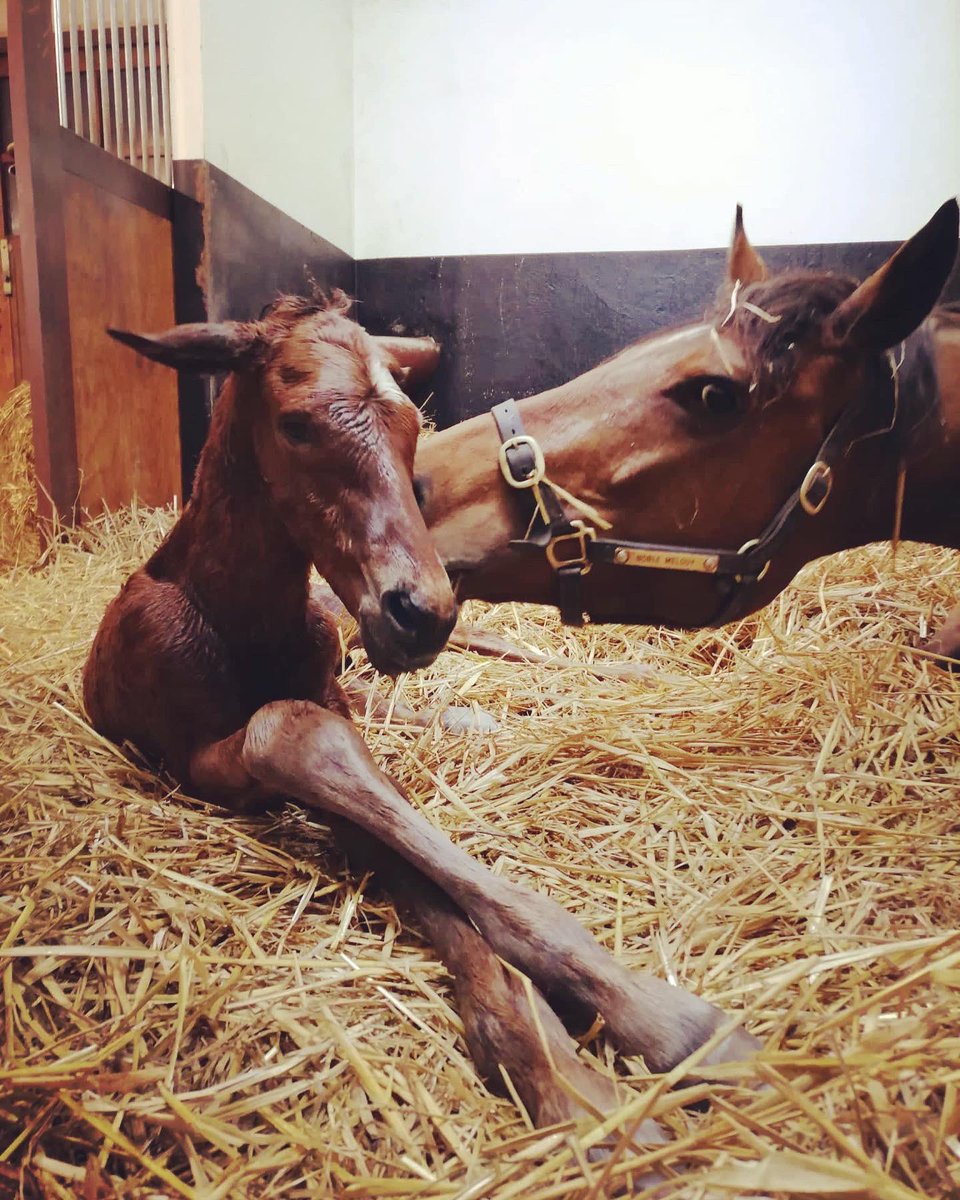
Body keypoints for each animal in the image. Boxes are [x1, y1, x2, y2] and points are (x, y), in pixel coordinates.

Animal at [82, 291, 756, 1143]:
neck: (238, 616)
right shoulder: (195, 756)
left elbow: (400, 832)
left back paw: (643, 672)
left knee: (500, 644)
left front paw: (635, 1020)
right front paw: (574, 1073)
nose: (420, 610)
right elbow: (302, 743)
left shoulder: (327, 693)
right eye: (296, 424)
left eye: (413, 427)